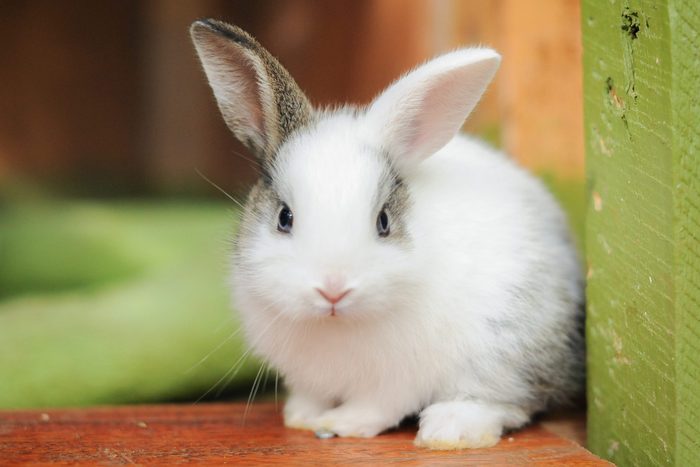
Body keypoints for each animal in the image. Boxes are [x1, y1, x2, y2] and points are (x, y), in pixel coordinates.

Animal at [190, 19, 584, 450]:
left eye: (383, 222)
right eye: (284, 217)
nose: (333, 290)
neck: (337, 325)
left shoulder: (397, 381)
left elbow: (378, 407)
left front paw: (342, 424)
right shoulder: (308, 377)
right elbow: (312, 395)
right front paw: (301, 418)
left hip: (506, 349)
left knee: (508, 400)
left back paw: (449, 430)